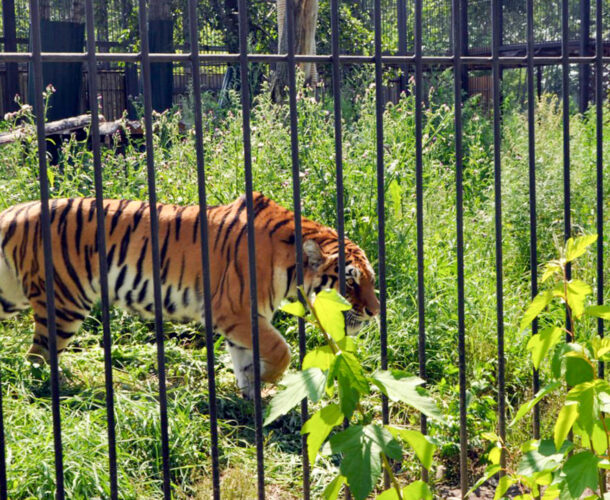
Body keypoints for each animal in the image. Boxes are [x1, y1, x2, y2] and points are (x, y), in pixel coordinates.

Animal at [0, 192, 378, 398]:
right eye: (350, 282)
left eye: (371, 281)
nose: (375, 312)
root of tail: (14, 210)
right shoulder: (234, 311)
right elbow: (281, 350)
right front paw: (265, 381)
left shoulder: (244, 320)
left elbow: (245, 359)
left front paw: (251, 394)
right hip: (64, 304)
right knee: (37, 356)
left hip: (12, 295)